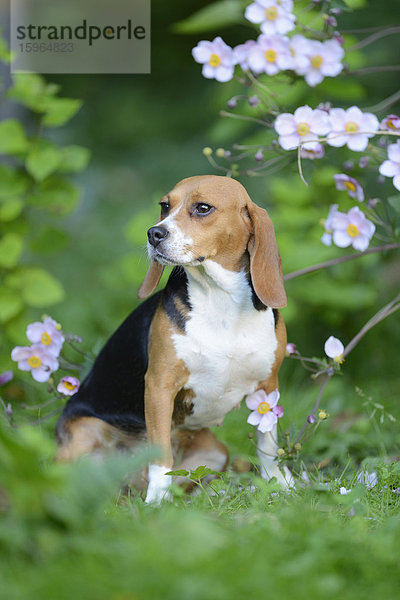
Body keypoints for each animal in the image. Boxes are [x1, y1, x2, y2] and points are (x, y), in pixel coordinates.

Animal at [56, 175, 292, 502]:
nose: (154, 233)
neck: (220, 300)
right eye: (165, 206)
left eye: (203, 208)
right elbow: (160, 454)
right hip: (84, 434)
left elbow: (267, 444)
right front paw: (157, 502)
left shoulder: (268, 387)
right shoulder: (159, 386)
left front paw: (278, 484)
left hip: (215, 452)